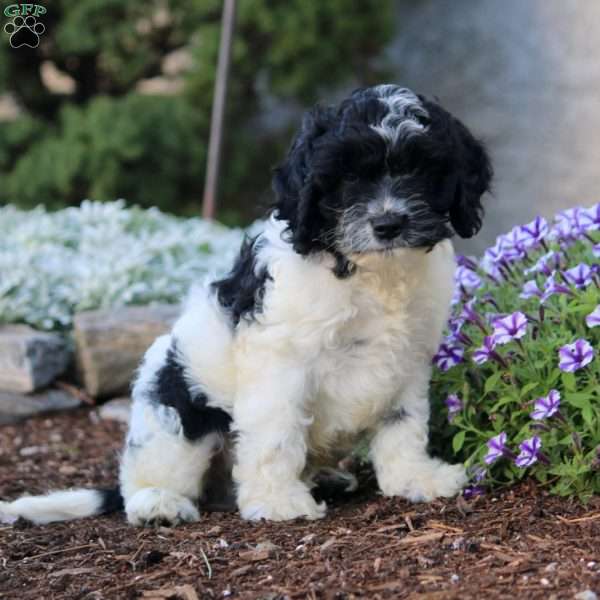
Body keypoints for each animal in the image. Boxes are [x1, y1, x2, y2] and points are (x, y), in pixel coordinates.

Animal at [0, 84, 492, 524]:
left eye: (420, 168)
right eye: (349, 176)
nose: (388, 224)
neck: (370, 271)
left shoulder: (405, 359)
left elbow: (402, 424)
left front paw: (415, 479)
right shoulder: (281, 362)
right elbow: (276, 434)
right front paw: (278, 503)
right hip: (175, 411)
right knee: (152, 474)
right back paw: (158, 503)